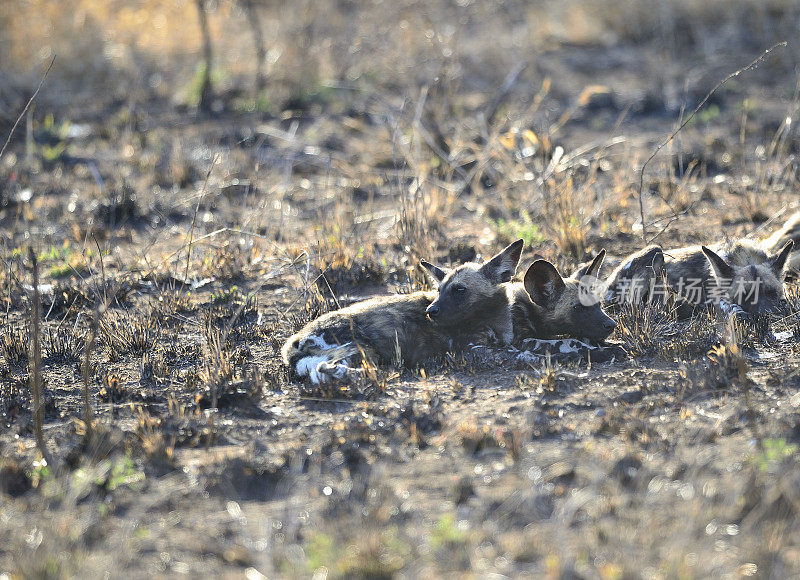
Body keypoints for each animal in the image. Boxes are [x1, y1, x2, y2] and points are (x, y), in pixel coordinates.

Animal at [282, 238, 524, 382]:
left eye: (459, 289)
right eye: (439, 290)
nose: (430, 310)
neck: (494, 317)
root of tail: (293, 342)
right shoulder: (475, 350)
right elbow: (519, 353)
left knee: (320, 372)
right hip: (361, 349)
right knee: (327, 367)